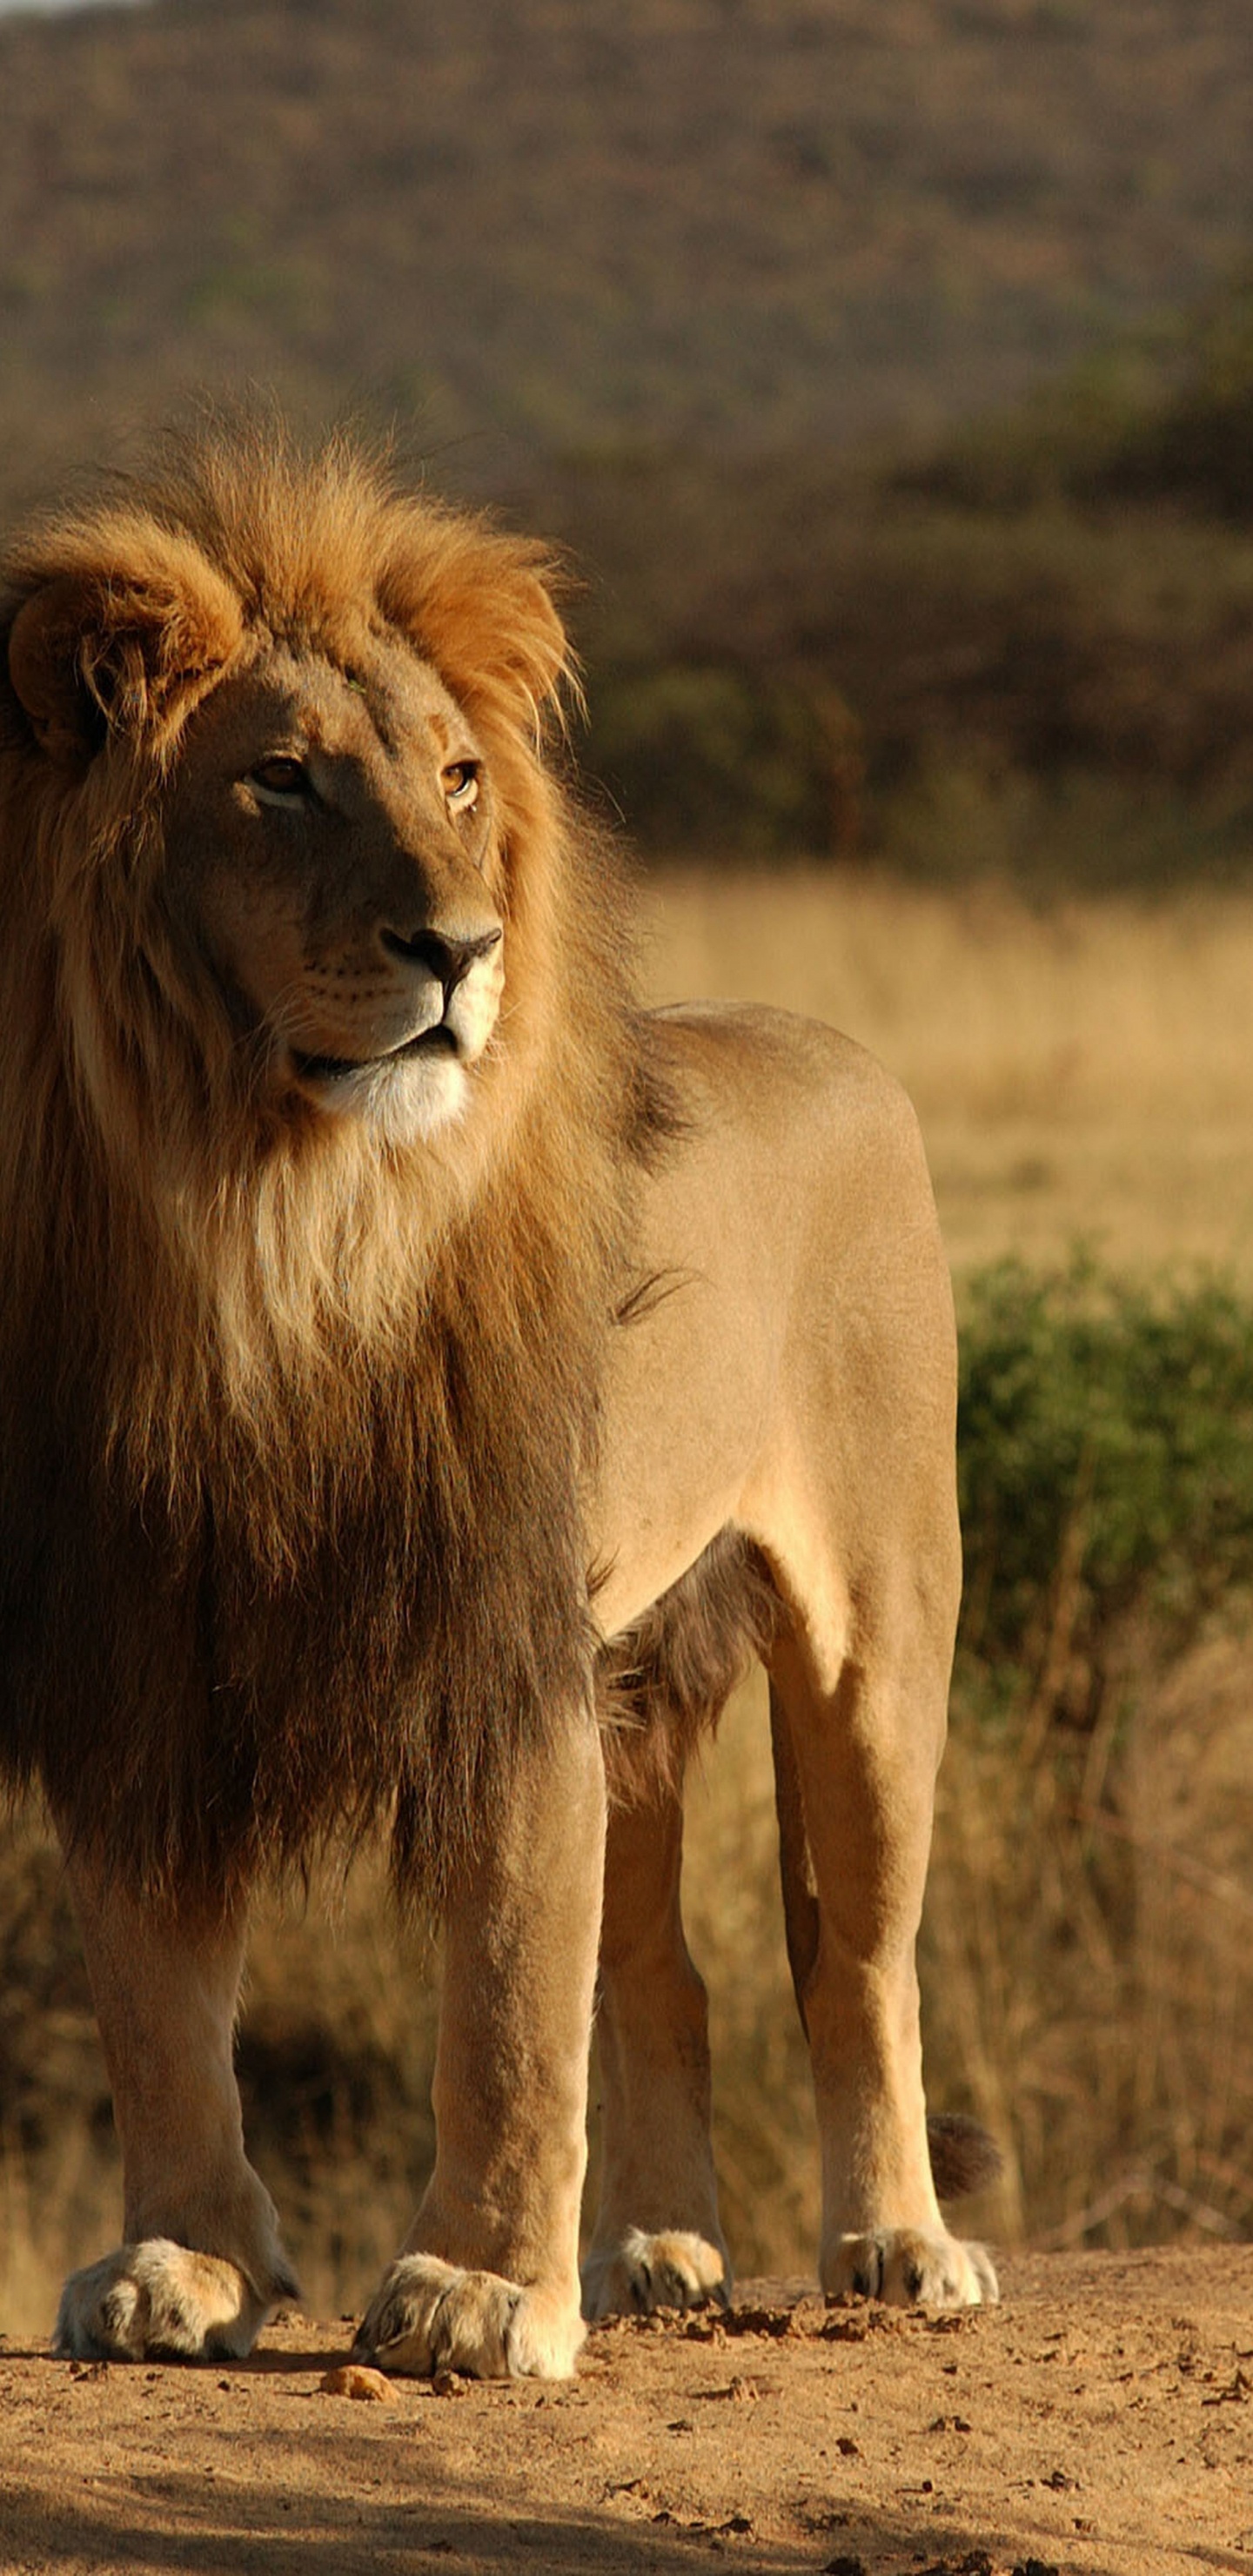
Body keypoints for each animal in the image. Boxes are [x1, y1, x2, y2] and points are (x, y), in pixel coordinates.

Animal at [0, 428, 996, 2380]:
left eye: (460, 779)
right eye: (282, 782)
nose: (455, 949)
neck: (275, 1225)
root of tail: (837, 1046)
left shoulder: (501, 1635)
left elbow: (512, 1996)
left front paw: (475, 2293)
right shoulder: (137, 1637)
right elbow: (155, 1994)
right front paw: (181, 2264)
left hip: (877, 1635)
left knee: (857, 1961)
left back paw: (899, 2246)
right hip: (644, 1672)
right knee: (668, 1969)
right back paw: (656, 2254)